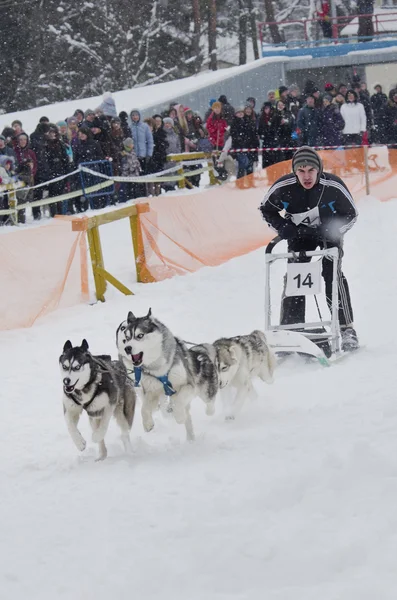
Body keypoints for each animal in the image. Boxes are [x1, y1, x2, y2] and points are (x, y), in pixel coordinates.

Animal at [115, 310, 220, 440]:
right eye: (127, 338)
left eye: (140, 335)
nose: (127, 348)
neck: (159, 368)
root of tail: (200, 352)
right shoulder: (152, 391)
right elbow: (144, 409)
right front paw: (148, 424)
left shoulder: (188, 385)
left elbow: (178, 401)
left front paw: (179, 416)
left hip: (205, 391)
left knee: (209, 403)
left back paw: (206, 412)